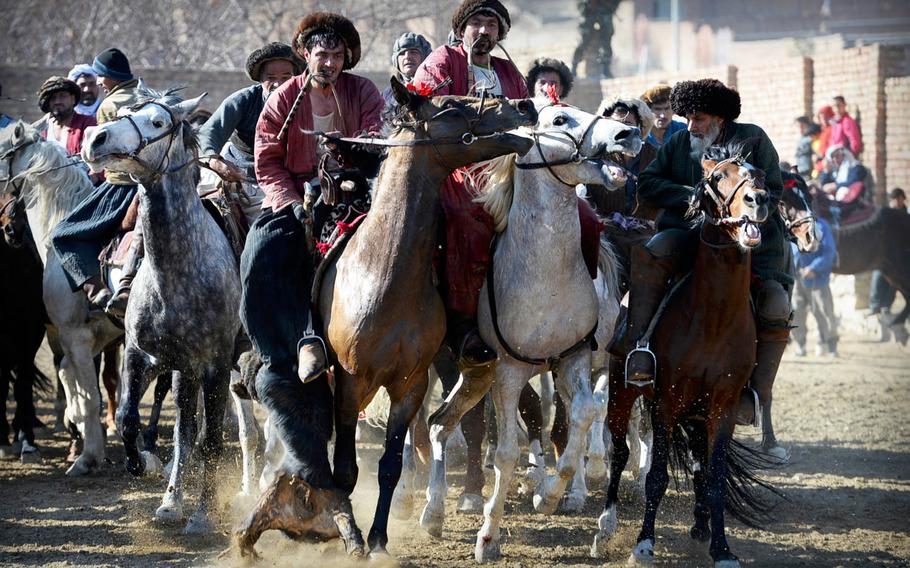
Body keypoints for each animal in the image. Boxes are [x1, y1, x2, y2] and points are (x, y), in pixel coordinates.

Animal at [0, 123, 123, 474]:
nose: (12, 232)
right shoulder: (87, 337)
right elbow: (74, 384)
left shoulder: (75, 335)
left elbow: (91, 397)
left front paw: (88, 456)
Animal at [79, 87, 246, 532]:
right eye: (126, 111)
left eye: (157, 122)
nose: (95, 139)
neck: (178, 274)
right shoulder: (143, 356)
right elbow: (127, 419)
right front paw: (141, 465)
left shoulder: (216, 366)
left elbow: (211, 442)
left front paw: (203, 515)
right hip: (184, 374)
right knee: (184, 432)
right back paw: (171, 501)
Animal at [232, 79, 536, 560]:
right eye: (453, 105)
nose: (525, 105)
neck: (383, 273)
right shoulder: (350, 382)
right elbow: (344, 470)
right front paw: (350, 536)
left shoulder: (409, 384)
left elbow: (391, 464)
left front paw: (377, 539)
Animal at [420, 100, 640, 560]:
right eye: (559, 119)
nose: (627, 134)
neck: (543, 273)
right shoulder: (509, 373)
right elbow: (505, 453)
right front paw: (488, 536)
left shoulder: (573, 359)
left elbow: (582, 418)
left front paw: (550, 494)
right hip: (468, 370)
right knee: (440, 424)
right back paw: (435, 509)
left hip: (478, 376)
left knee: (441, 423)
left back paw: (437, 511)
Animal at [592, 152, 784, 568]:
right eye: (718, 177)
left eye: (762, 176)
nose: (757, 200)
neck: (713, 318)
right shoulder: (665, 404)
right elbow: (657, 476)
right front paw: (643, 545)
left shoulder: (723, 408)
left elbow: (713, 477)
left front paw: (721, 548)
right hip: (621, 390)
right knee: (620, 452)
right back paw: (606, 526)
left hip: (697, 415)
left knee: (697, 465)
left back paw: (699, 527)